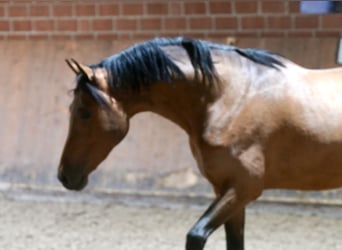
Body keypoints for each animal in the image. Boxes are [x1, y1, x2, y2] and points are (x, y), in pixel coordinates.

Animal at [59, 36, 342, 249]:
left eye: (83, 112)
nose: (64, 175)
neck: (230, 98)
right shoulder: (226, 191)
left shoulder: (244, 188)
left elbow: (195, 236)